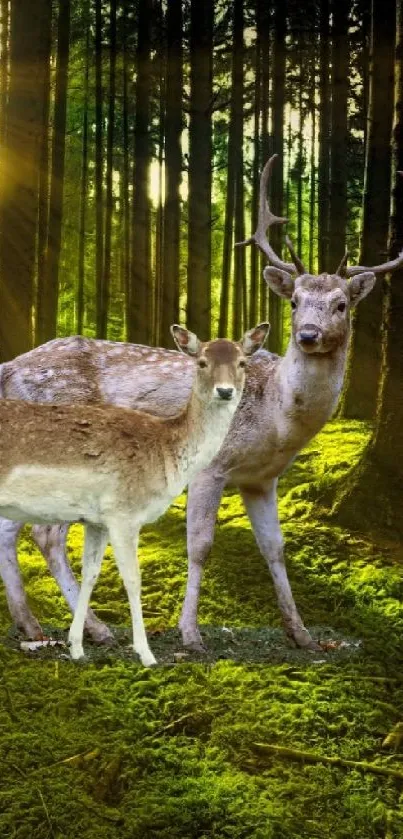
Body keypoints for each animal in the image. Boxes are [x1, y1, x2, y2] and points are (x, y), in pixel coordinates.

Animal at [0, 324, 270, 668]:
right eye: (201, 362)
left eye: (242, 363)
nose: (225, 391)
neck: (166, 450)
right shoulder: (124, 514)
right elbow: (132, 578)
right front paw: (146, 654)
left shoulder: (97, 520)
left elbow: (91, 574)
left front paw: (77, 648)